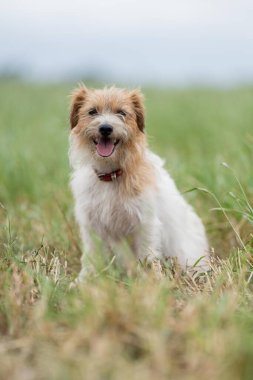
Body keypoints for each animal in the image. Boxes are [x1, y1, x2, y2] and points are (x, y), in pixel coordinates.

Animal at [68, 85, 209, 282]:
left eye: (121, 112)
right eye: (92, 111)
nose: (105, 128)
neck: (111, 174)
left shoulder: (145, 223)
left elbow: (147, 256)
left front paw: (152, 281)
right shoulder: (91, 225)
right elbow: (90, 258)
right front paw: (84, 282)